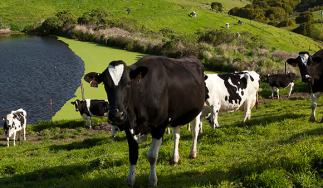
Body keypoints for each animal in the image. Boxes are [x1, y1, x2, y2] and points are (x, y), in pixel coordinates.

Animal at [83, 54, 208, 187]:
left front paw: (152, 180)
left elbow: (152, 156)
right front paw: (130, 180)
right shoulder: (128, 127)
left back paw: (193, 153)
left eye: (128, 83)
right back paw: (175, 159)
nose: (117, 114)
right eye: (105, 85)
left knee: (194, 132)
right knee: (176, 135)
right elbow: (133, 155)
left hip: (197, 110)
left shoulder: (159, 127)